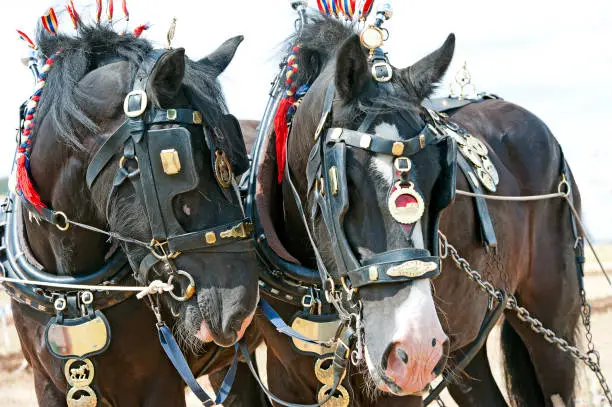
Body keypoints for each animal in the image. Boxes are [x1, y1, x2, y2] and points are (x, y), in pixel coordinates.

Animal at [5, 23, 266, 406]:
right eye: (177, 162)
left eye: (238, 163)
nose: (241, 308)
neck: (72, 288)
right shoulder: (48, 385)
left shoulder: (159, 386)